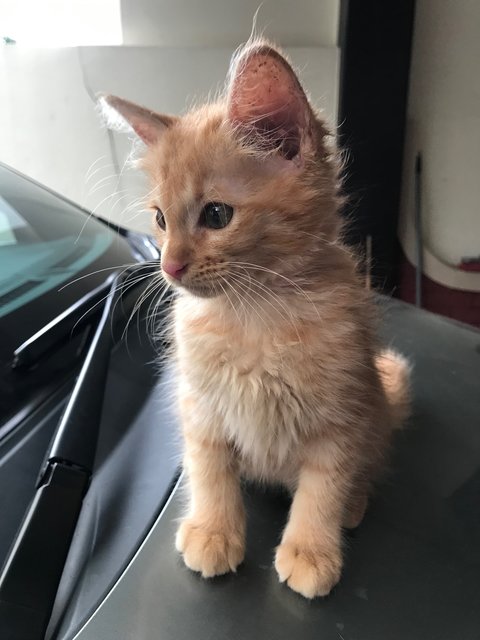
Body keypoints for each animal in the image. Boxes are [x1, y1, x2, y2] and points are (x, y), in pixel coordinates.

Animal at [100, 41, 408, 600]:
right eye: (160, 219)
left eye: (217, 215)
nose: (169, 266)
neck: (253, 315)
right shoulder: (200, 407)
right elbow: (208, 470)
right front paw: (213, 530)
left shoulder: (343, 415)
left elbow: (324, 487)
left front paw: (311, 549)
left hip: (375, 412)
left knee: (367, 468)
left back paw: (354, 506)